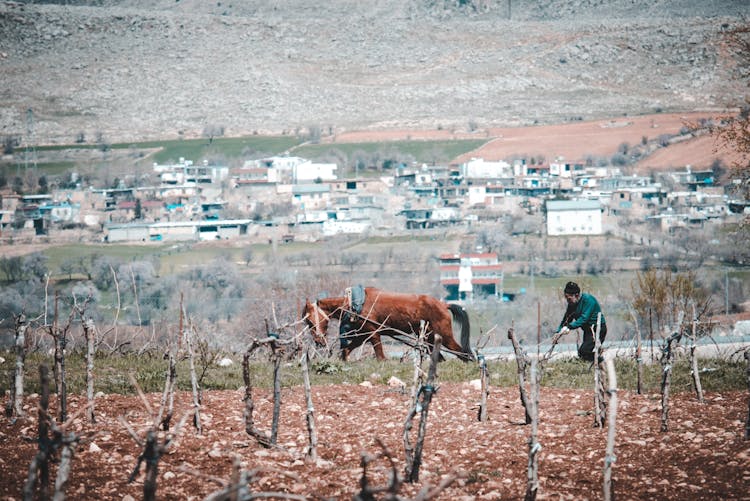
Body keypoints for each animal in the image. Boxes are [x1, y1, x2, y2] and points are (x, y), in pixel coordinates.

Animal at [302, 288, 472, 362]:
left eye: (310, 320)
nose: (318, 341)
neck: (355, 304)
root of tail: (443, 304)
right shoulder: (363, 335)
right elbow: (347, 350)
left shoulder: (373, 332)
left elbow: (379, 354)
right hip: (429, 336)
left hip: (444, 335)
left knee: (461, 351)